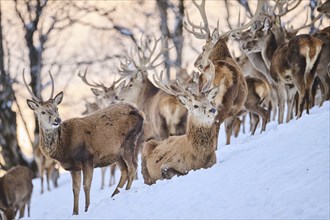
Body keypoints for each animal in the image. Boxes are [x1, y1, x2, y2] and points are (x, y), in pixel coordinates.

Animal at [23, 71, 145, 215]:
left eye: (56, 108)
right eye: (42, 111)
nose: (57, 119)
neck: (64, 147)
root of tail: (139, 112)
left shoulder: (87, 158)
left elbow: (86, 185)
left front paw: (87, 209)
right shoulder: (73, 167)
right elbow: (75, 189)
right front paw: (75, 212)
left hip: (128, 141)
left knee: (132, 167)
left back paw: (125, 191)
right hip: (116, 153)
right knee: (124, 171)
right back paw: (114, 194)